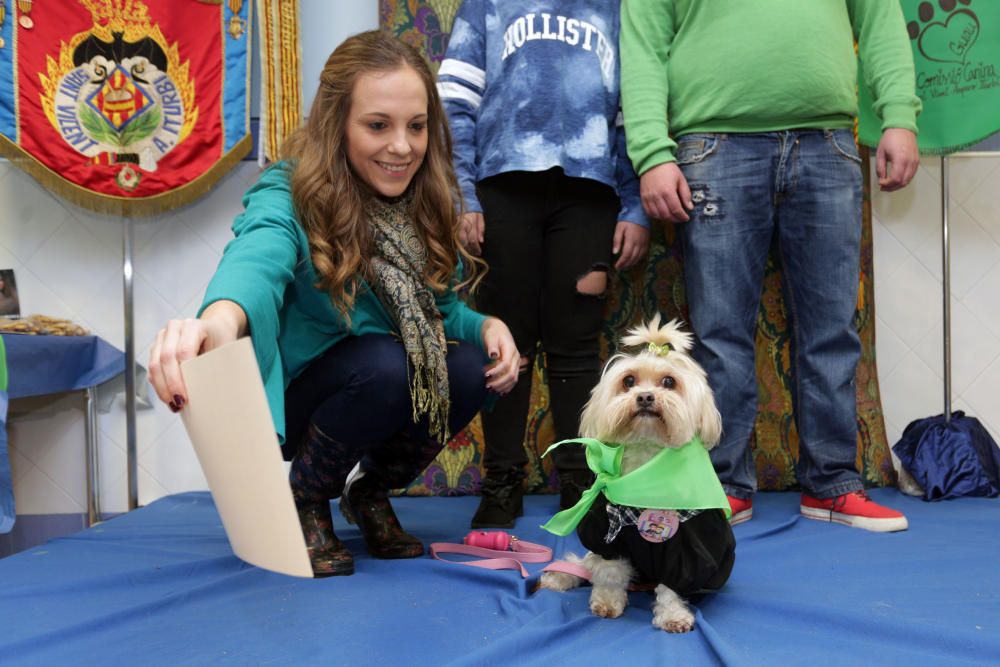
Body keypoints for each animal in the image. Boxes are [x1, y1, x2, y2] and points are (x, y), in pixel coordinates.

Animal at [540, 316, 736, 636]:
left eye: (669, 382)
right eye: (628, 381)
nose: (644, 397)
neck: (645, 471)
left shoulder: (687, 553)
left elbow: (672, 587)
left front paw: (673, 616)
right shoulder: (606, 537)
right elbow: (609, 573)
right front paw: (607, 603)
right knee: (584, 564)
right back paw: (560, 577)